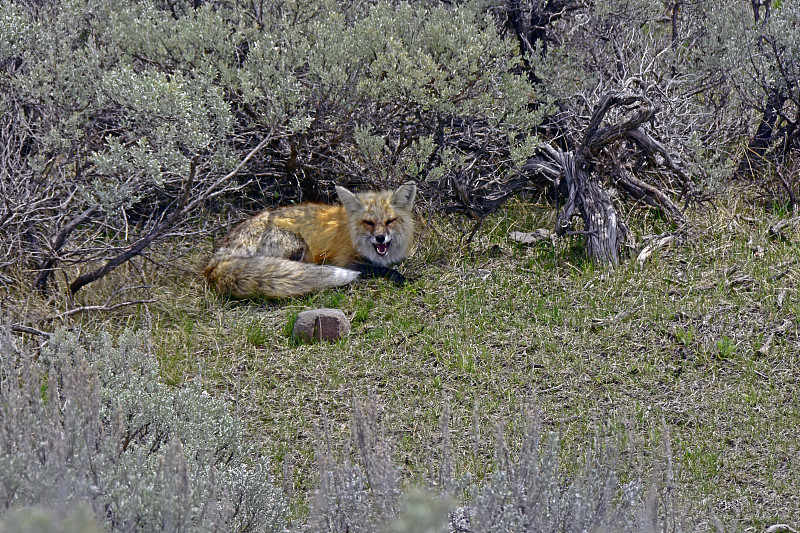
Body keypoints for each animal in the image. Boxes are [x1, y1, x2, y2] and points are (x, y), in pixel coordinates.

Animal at [205, 182, 418, 300]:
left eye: (390, 221)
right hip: (298, 245)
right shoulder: (343, 260)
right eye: (369, 223)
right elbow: (380, 270)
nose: (380, 237)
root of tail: (218, 259)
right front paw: (401, 278)